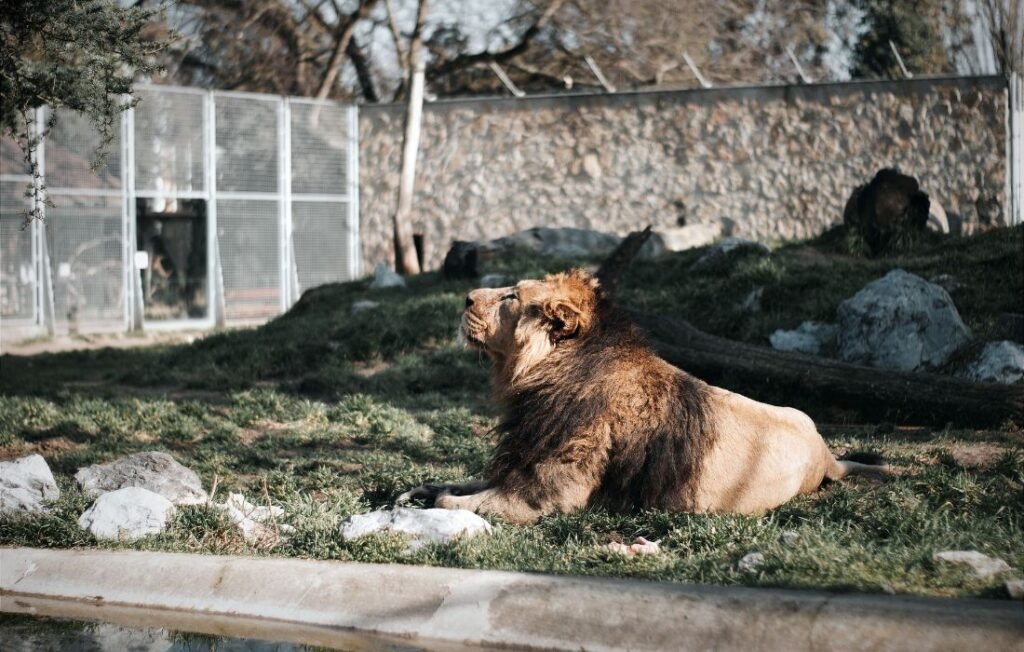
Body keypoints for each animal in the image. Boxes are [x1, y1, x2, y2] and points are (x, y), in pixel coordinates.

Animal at [399, 269, 887, 524]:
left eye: (512, 296)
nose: (465, 297)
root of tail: (828, 456)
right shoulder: (521, 460)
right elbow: (463, 482)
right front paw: (417, 490)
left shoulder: (549, 495)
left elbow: (462, 501)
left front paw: (438, 502)